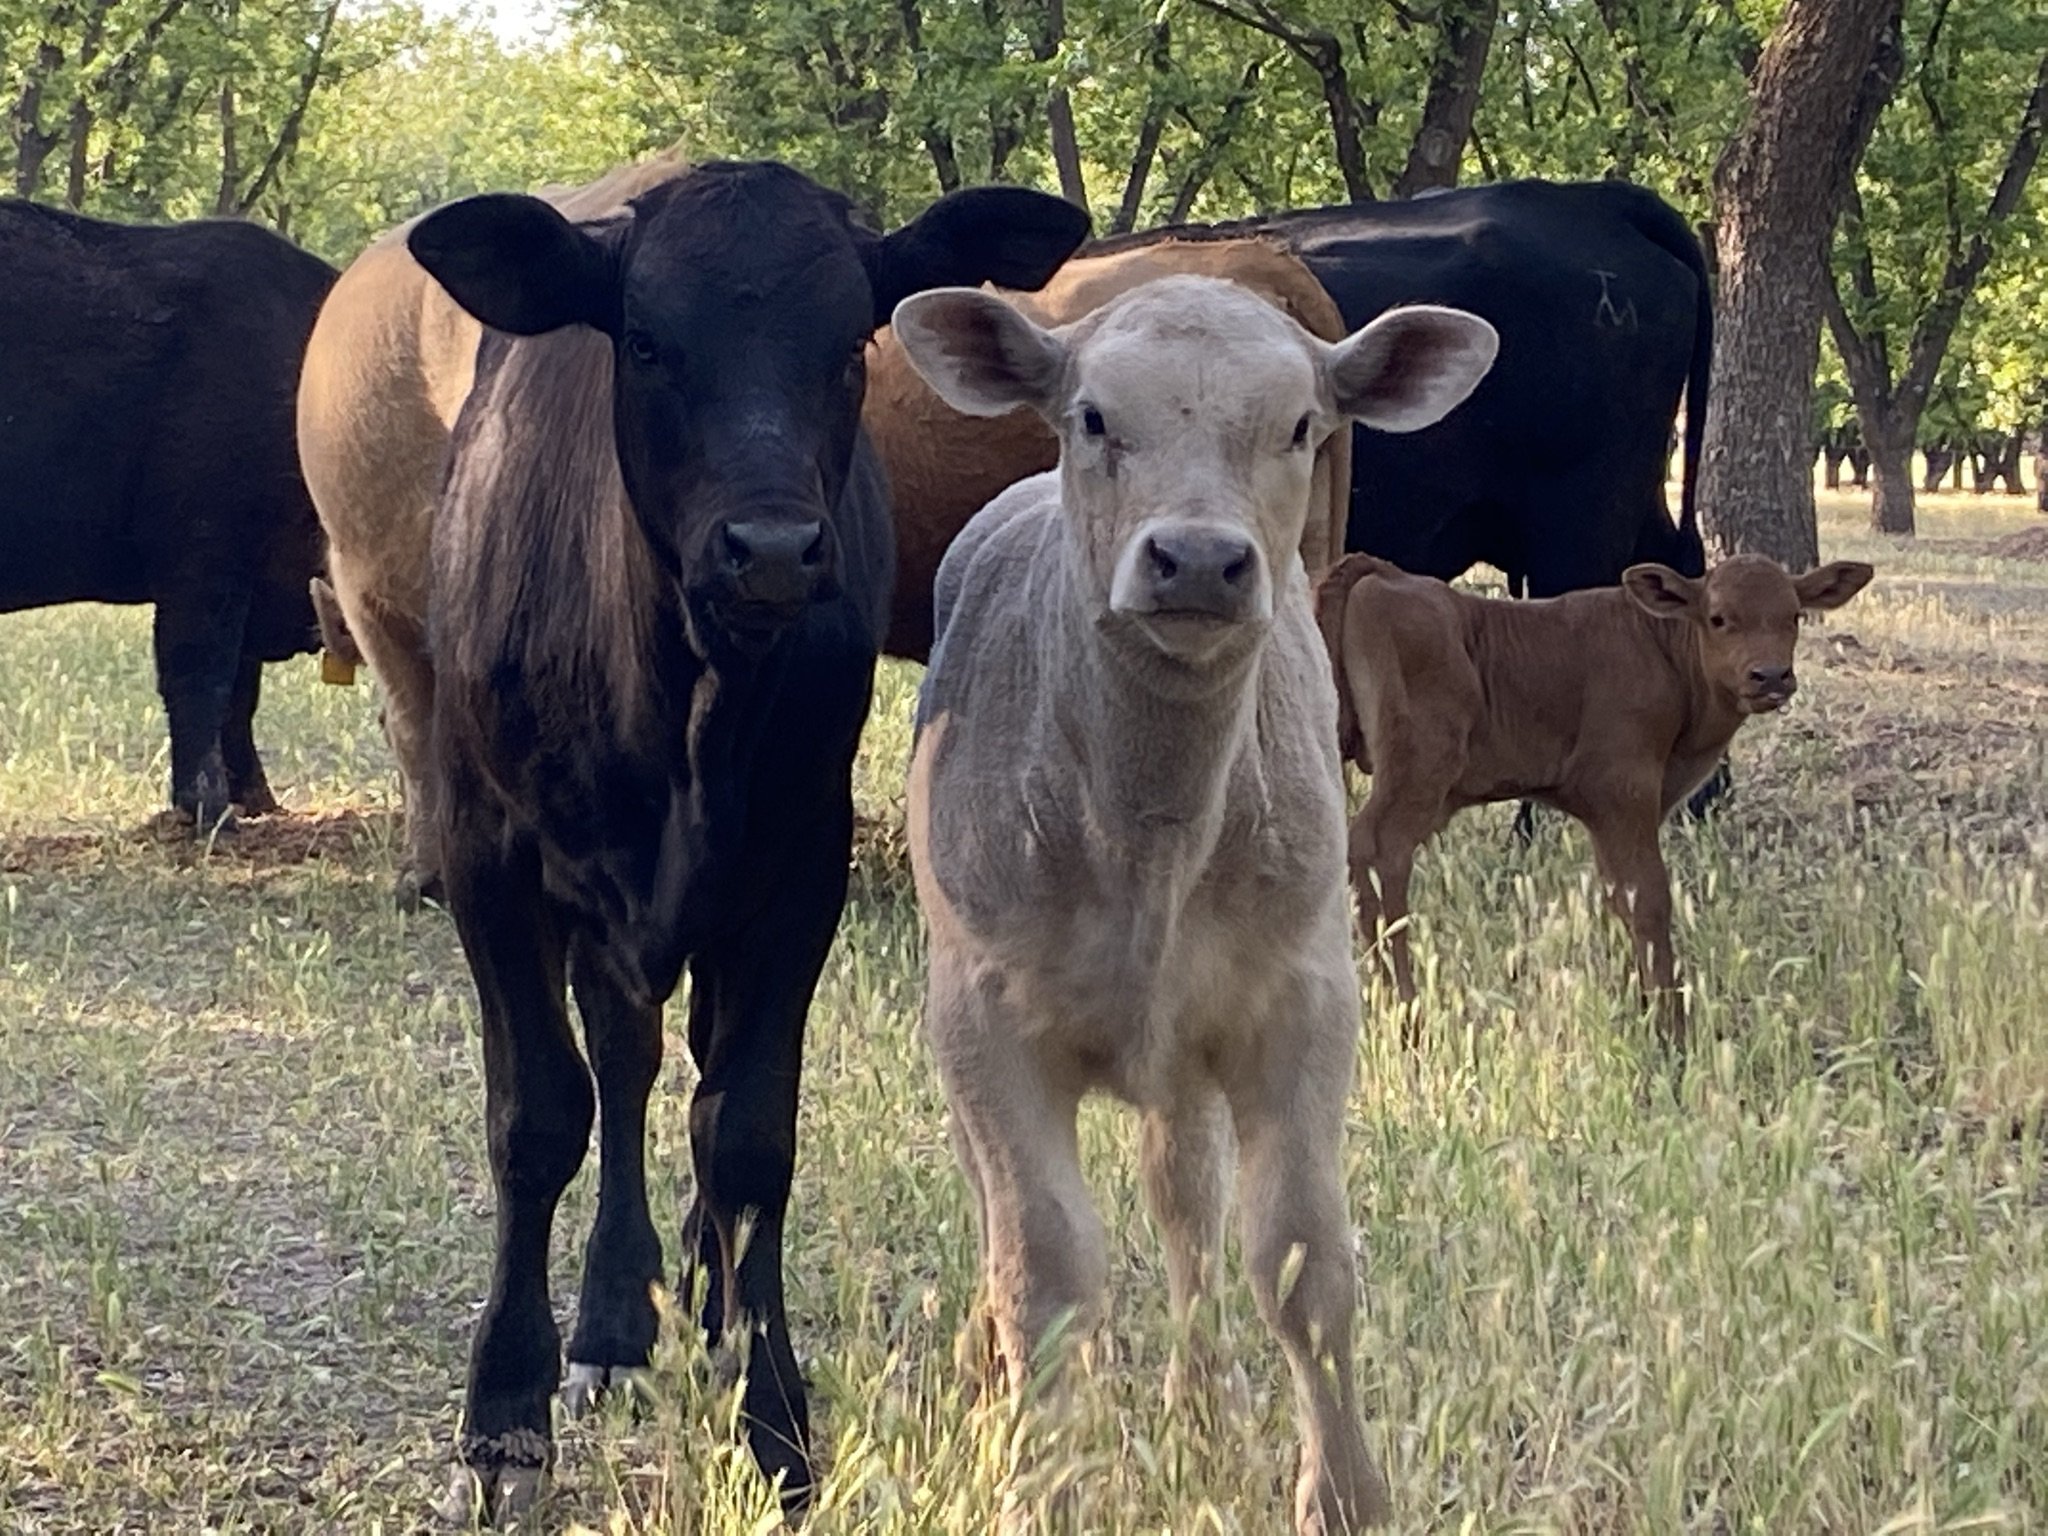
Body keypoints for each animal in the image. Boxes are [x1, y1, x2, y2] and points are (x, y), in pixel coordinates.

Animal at [399, 161, 1088, 1523]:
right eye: (646, 341)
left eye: (850, 345)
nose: (770, 548)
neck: (681, 699)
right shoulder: (484, 850)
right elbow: (537, 1115)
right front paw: (501, 1420)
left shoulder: (795, 868)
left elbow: (749, 1134)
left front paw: (771, 1418)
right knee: (621, 1064)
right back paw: (612, 1324)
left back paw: (700, 1310)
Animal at [893, 275, 1497, 1533]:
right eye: (1090, 417)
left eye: (1300, 426)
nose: (1199, 560)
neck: (1152, 835)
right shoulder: (981, 1011)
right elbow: (1042, 1268)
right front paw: (1039, 1480)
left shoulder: (1302, 995)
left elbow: (1299, 1259)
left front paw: (1343, 1493)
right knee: (998, 1207)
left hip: (1182, 1046)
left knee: (1185, 1202)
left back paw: (1201, 1406)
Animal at [1315, 552, 1873, 1041]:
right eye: (1718, 618)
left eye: (1794, 615)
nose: (1771, 676)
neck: (1663, 653)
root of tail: (1385, 574)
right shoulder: (1623, 790)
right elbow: (1648, 897)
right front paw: (1672, 1030)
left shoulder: (1608, 814)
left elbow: (1617, 897)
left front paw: (1638, 1008)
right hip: (1419, 772)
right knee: (1379, 854)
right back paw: (1406, 1012)